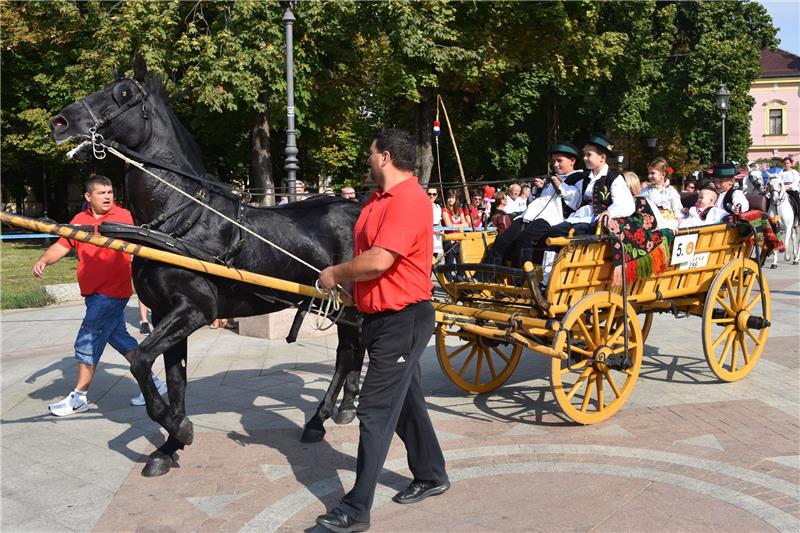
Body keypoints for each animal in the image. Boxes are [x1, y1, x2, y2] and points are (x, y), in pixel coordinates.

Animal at [47, 56, 366, 476]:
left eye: (123, 93)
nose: (59, 122)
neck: (181, 219)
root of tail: (361, 207)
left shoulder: (195, 310)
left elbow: (139, 359)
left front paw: (179, 429)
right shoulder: (166, 314)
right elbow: (174, 380)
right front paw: (168, 446)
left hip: (346, 304)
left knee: (347, 353)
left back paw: (321, 417)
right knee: (354, 350)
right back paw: (345, 408)